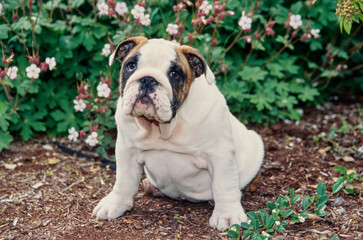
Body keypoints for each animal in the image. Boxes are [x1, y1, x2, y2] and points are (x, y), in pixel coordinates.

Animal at [92, 37, 264, 231]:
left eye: (174, 74)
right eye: (131, 66)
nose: (148, 79)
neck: (162, 128)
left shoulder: (220, 154)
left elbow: (224, 184)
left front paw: (227, 214)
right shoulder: (126, 149)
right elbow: (124, 179)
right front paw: (115, 203)